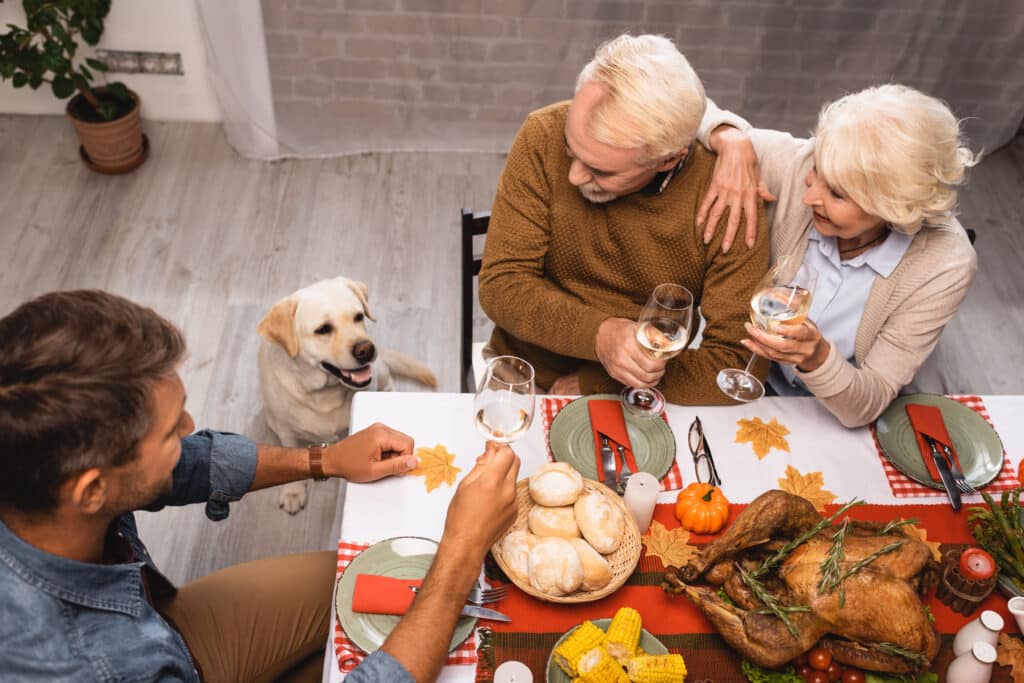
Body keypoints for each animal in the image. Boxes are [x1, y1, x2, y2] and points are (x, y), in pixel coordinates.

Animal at [256, 276, 436, 511]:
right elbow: (290, 447)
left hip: (381, 370)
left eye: (358, 316)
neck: (325, 393)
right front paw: (293, 491)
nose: (366, 350)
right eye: (323, 329)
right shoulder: (286, 429)